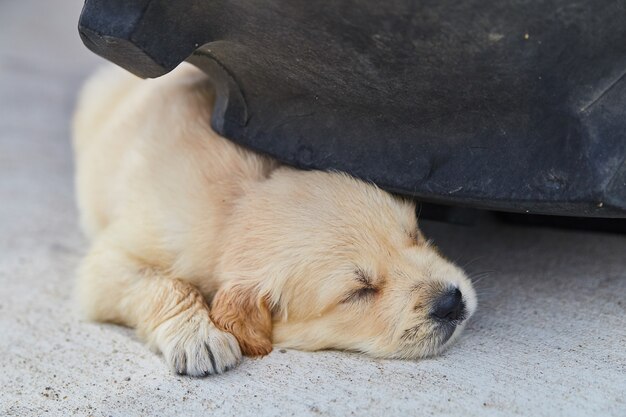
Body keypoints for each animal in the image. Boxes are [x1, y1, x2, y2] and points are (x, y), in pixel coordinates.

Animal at [72, 63, 472, 376]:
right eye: (358, 292)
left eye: (414, 235)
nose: (451, 303)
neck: (234, 204)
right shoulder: (107, 265)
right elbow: (166, 285)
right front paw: (198, 337)